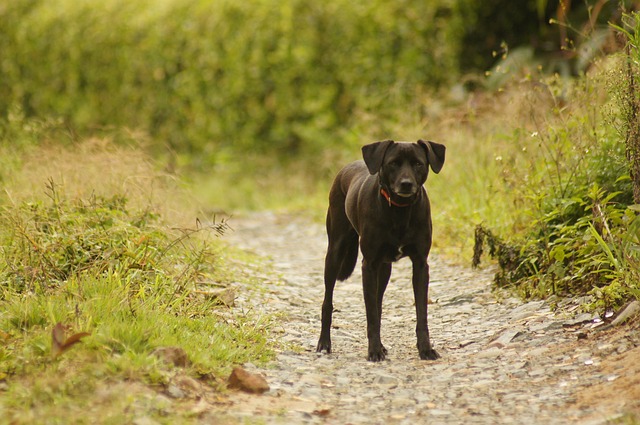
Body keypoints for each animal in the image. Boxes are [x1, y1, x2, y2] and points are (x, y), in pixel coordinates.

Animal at [316, 139, 444, 362]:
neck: (400, 210)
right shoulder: (369, 265)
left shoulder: (420, 265)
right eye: (393, 163)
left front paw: (425, 349)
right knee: (328, 302)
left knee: (377, 302)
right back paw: (324, 343)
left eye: (418, 164)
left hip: (384, 268)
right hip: (335, 253)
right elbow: (372, 316)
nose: (406, 184)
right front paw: (374, 350)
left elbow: (421, 313)